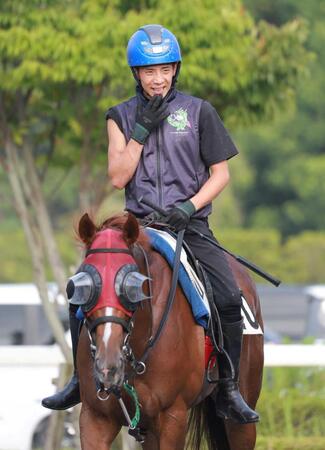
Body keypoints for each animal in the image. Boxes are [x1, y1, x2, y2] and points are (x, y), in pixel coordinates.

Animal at [72, 214, 262, 450]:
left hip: (241, 422)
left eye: (132, 285)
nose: (108, 365)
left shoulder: (173, 417)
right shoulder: (95, 418)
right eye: (84, 285)